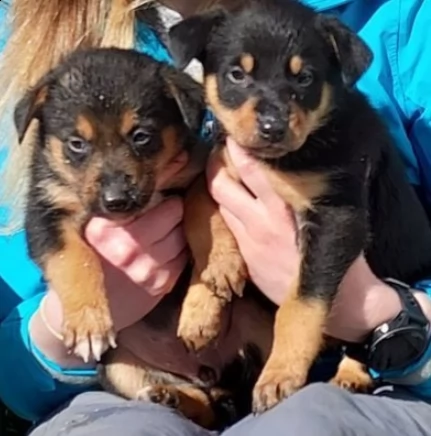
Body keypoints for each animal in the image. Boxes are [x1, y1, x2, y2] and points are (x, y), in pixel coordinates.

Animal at [14, 46, 208, 362]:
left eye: (141, 136)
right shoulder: (46, 210)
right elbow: (75, 260)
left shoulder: (194, 171)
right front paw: (89, 324)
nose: (117, 200)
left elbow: (205, 210)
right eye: (76, 143)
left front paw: (206, 304)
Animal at [169, 0, 431, 416]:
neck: (283, 161)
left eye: (304, 78)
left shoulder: (338, 215)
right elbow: (198, 204)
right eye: (237, 74)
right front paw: (205, 296)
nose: (272, 127)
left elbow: (301, 302)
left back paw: (351, 374)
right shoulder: (222, 165)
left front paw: (280, 375)